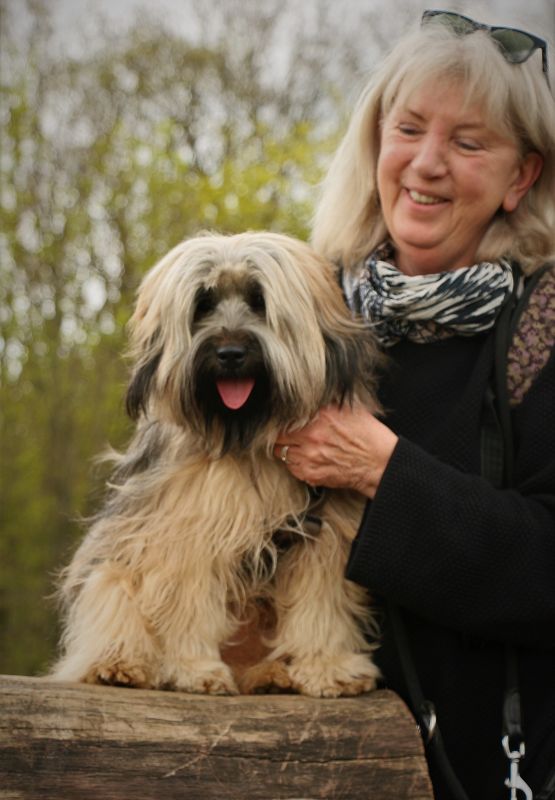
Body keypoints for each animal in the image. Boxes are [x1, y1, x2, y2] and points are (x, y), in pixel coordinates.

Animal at [51, 230, 382, 692]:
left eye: (259, 300)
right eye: (202, 304)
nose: (229, 353)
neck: (246, 438)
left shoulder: (324, 535)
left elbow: (321, 603)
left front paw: (327, 666)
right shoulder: (188, 530)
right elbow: (187, 600)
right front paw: (195, 670)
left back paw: (269, 675)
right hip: (109, 572)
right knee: (114, 602)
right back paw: (119, 665)